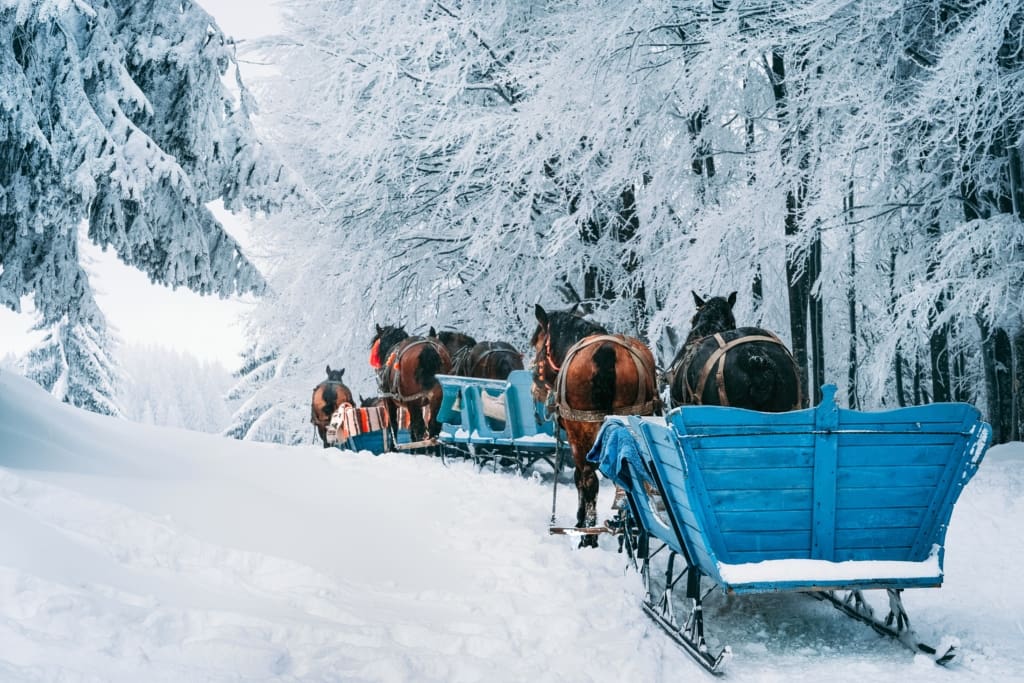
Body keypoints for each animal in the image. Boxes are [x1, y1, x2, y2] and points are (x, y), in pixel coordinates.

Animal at [532, 307, 659, 548]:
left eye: (535, 343)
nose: (535, 387)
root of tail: (607, 351)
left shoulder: (574, 438)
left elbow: (579, 479)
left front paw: (580, 523)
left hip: (582, 432)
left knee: (589, 479)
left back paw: (589, 535)